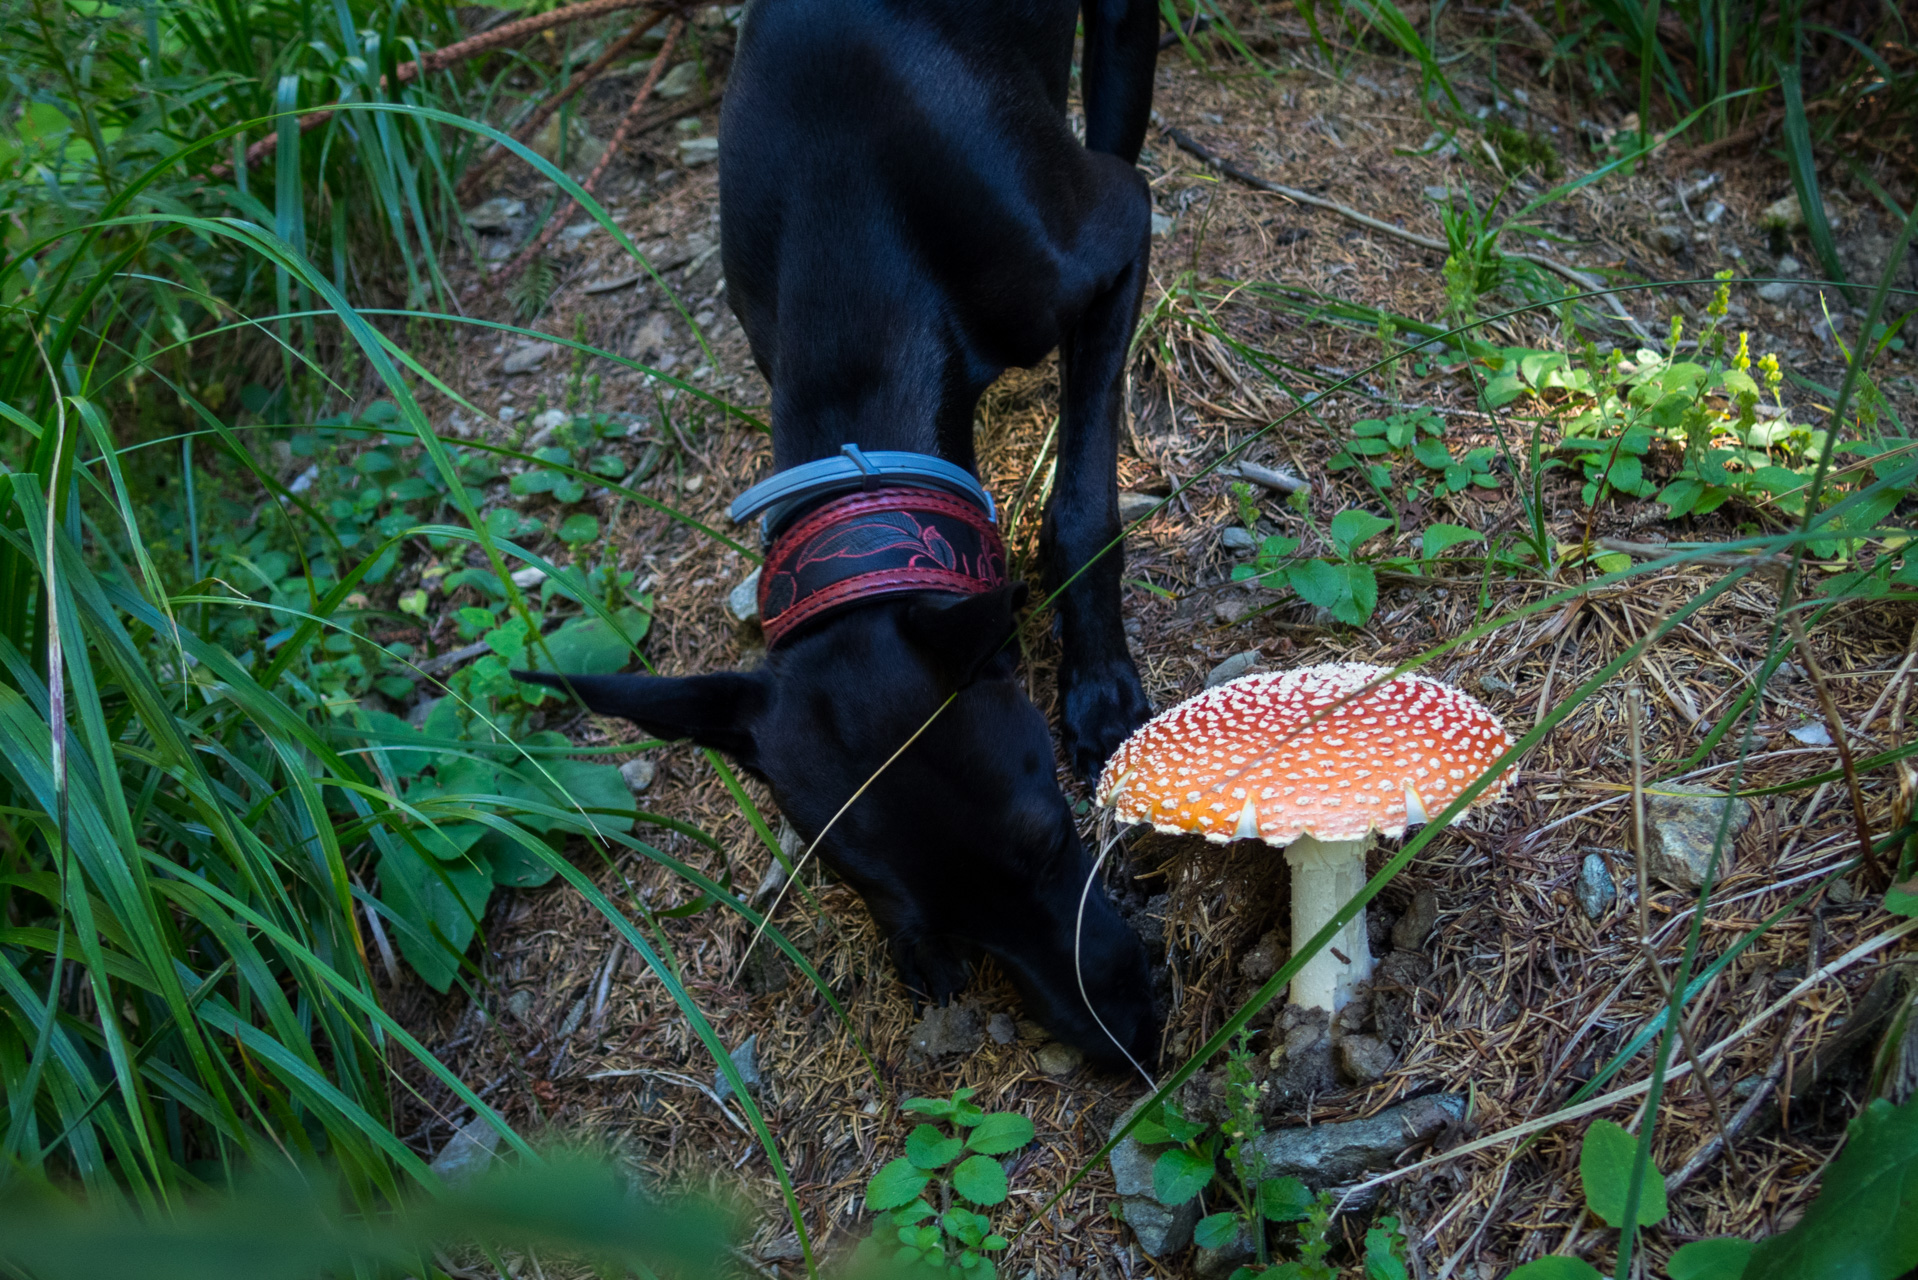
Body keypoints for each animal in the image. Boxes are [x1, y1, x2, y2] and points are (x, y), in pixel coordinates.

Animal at [517, 0, 1158, 1074]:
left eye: (1050, 840)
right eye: (934, 916)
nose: (1135, 1041)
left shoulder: (1119, 233)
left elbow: (1080, 504)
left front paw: (1101, 684)